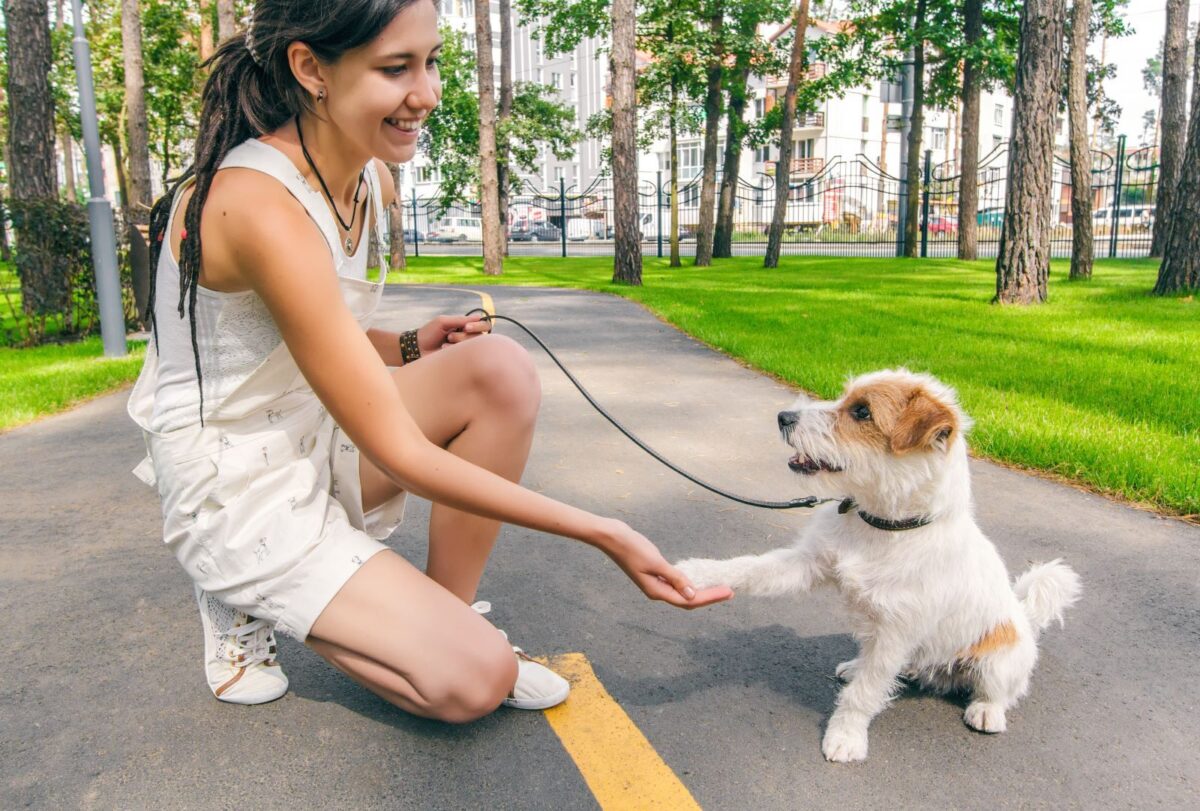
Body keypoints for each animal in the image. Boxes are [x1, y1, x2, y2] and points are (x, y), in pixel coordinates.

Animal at [681, 369, 1084, 763]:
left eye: (862, 412)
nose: (783, 417)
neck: (881, 525)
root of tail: (1024, 616)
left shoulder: (895, 633)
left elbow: (865, 694)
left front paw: (846, 737)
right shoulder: (808, 564)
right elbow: (749, 568)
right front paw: (695, 572)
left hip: (999, 661)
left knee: (999, 691)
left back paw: (987, 711)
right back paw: (856, 666)